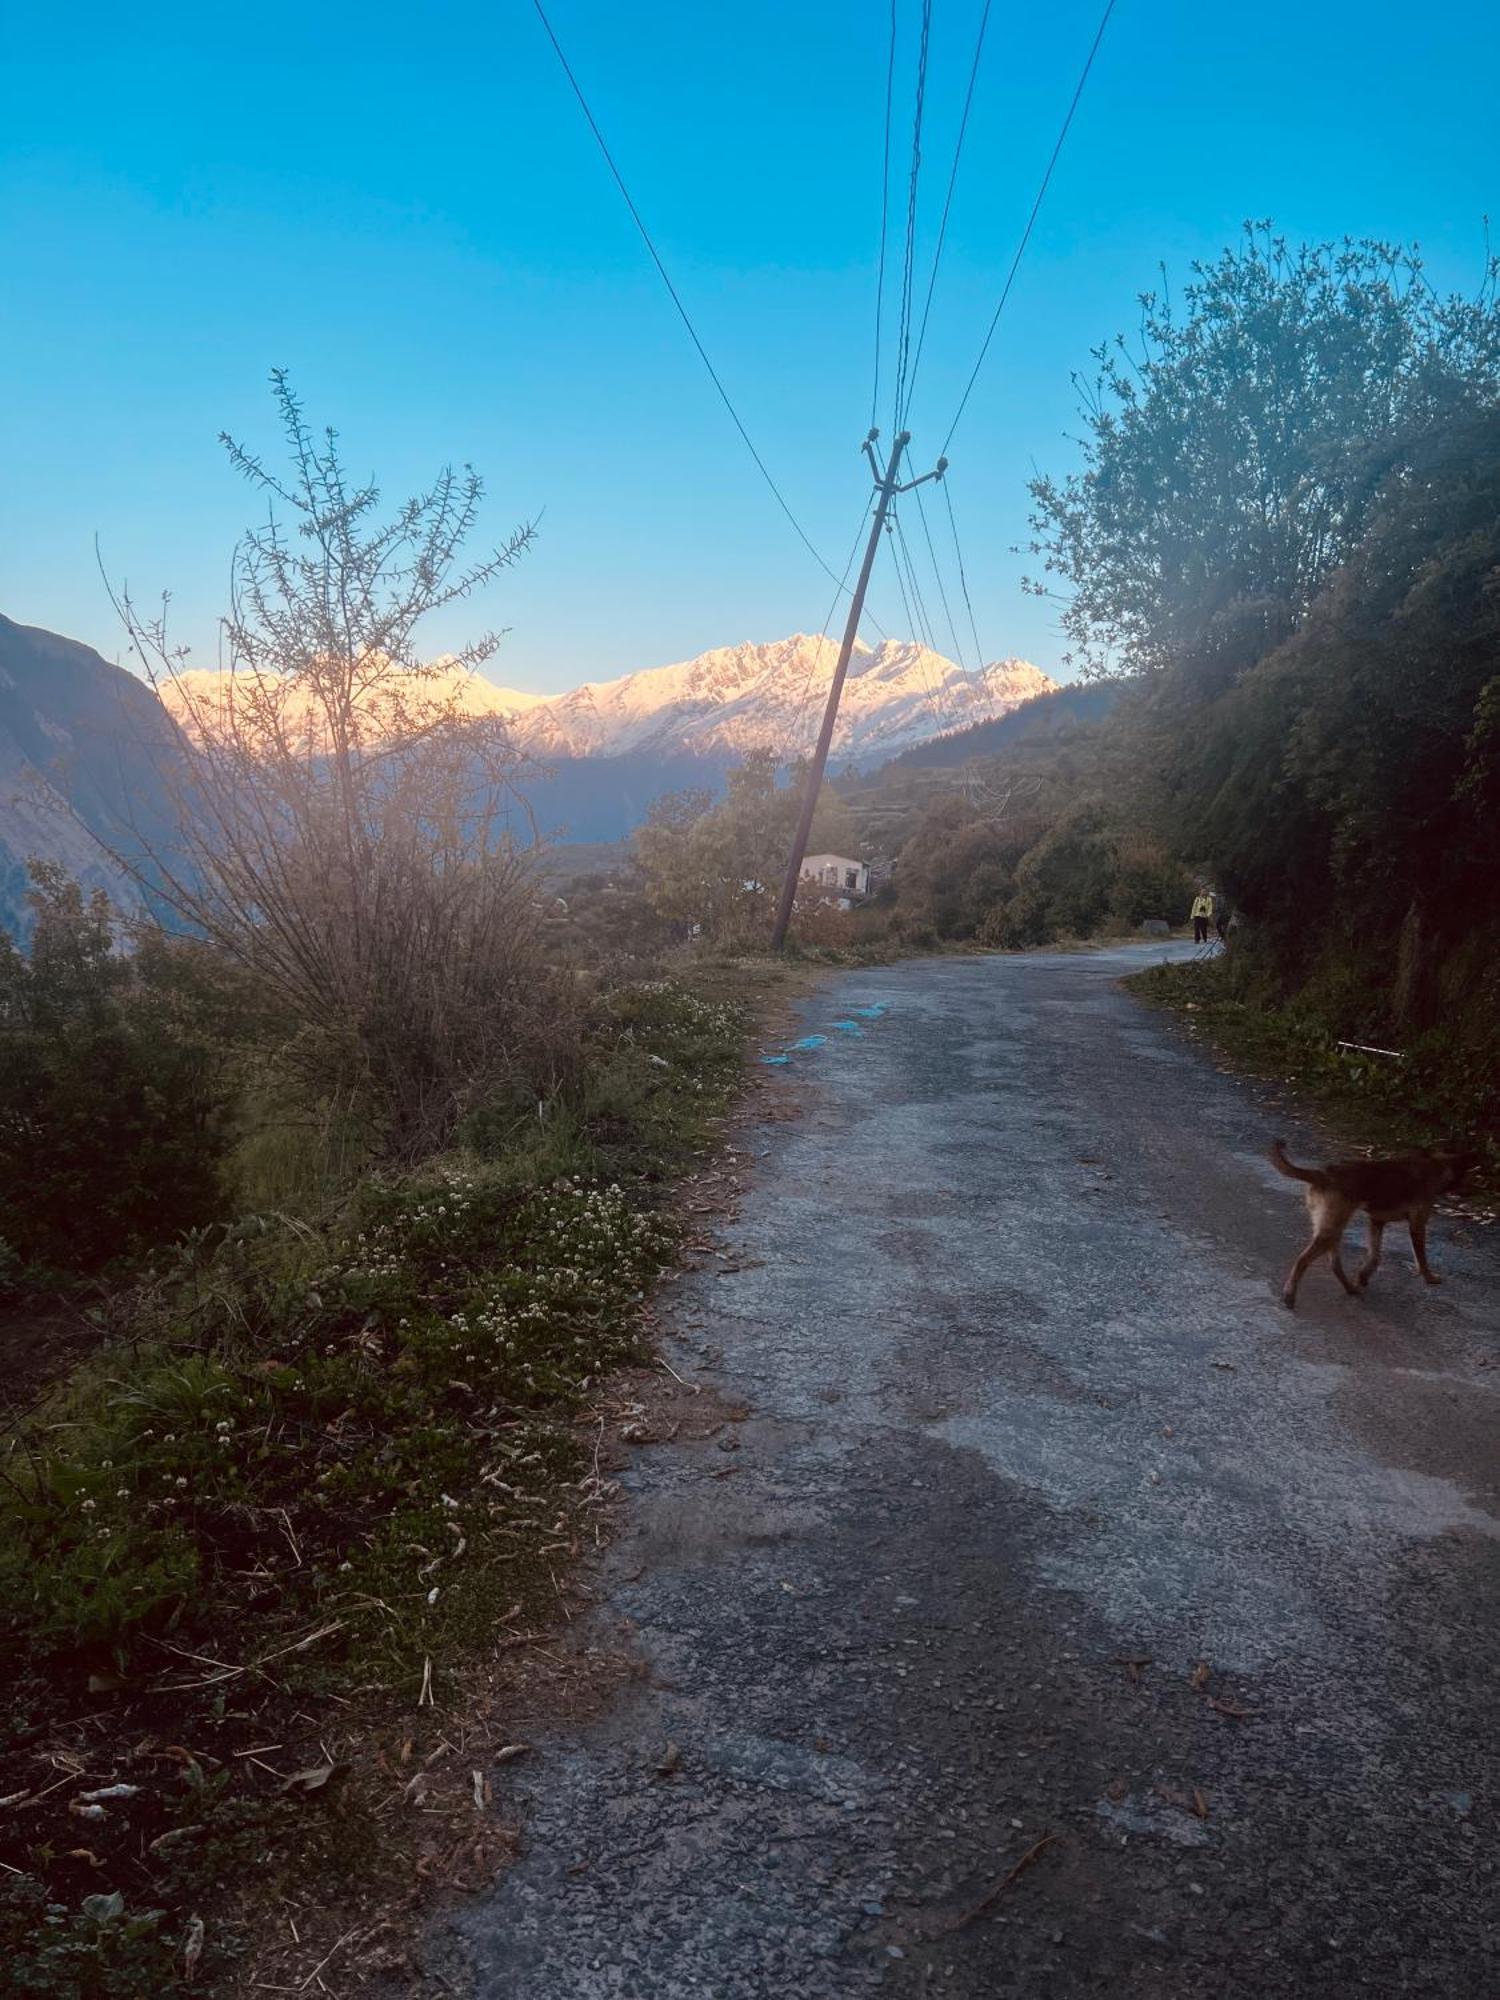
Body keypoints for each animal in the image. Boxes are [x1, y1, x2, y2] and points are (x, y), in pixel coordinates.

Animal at [1272, 1144, 1488, 1312]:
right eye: (1469, 1175)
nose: (1475, 1197)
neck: (1435, 1167)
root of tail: (1323, 1174)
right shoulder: (1417, 1224)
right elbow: (1421, 1258)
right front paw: (1429, 1277)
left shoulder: (1376, 1221)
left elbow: (1375, 1256)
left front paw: (1363, 1275)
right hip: (1331, 1229)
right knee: (1302, 1260)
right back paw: (1290, 1295)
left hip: (1332, 1228)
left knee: (1334, 1264)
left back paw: (1351, 1288)